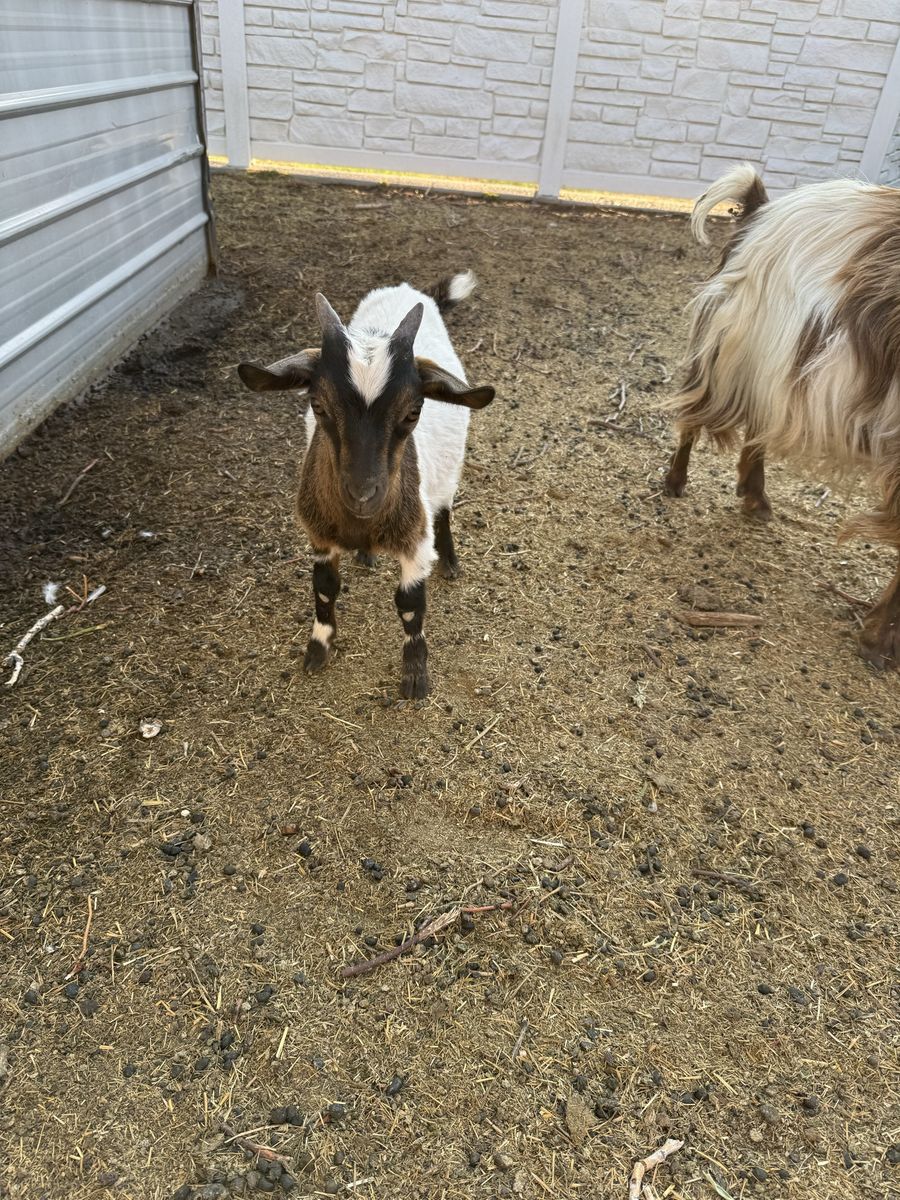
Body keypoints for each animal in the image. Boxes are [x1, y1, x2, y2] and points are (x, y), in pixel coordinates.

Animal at [238, 272, 494, 698]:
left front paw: (415, 676)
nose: (361, 495)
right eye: (318, 406)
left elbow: (410, 604)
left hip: (447, 473)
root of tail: (407, 288)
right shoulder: (320, 534)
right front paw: (318, 649)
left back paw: (450, 562)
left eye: (413, 412)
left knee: (443, 508)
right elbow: (325, 587)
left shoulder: (414, 541)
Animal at [663, 162, 900, 668]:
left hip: (774, 363)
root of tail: (761, 208)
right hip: (731, 348)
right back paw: (677, 482)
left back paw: (754, 497)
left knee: (758, 422)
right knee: (696, 415)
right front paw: (878, 641)